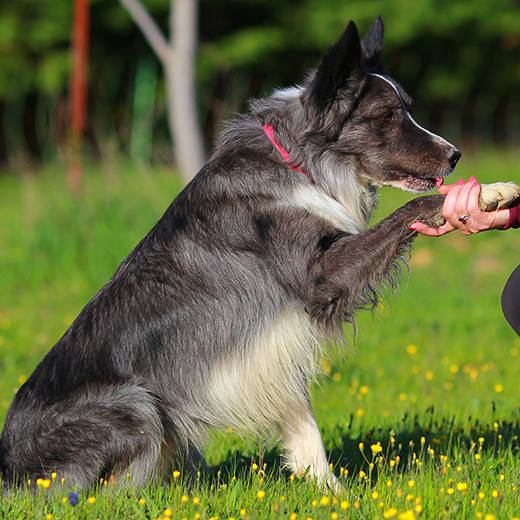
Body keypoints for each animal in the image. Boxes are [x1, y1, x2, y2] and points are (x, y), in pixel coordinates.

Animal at [1, 16, 520, 494]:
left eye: (407, 110)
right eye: (388, 116)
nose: (454, 156)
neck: (300, 163)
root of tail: (6, 467)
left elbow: (302, 421)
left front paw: (328, 494)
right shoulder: (319, 277)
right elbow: (412, 207)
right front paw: (487, 193)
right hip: (133, 403)